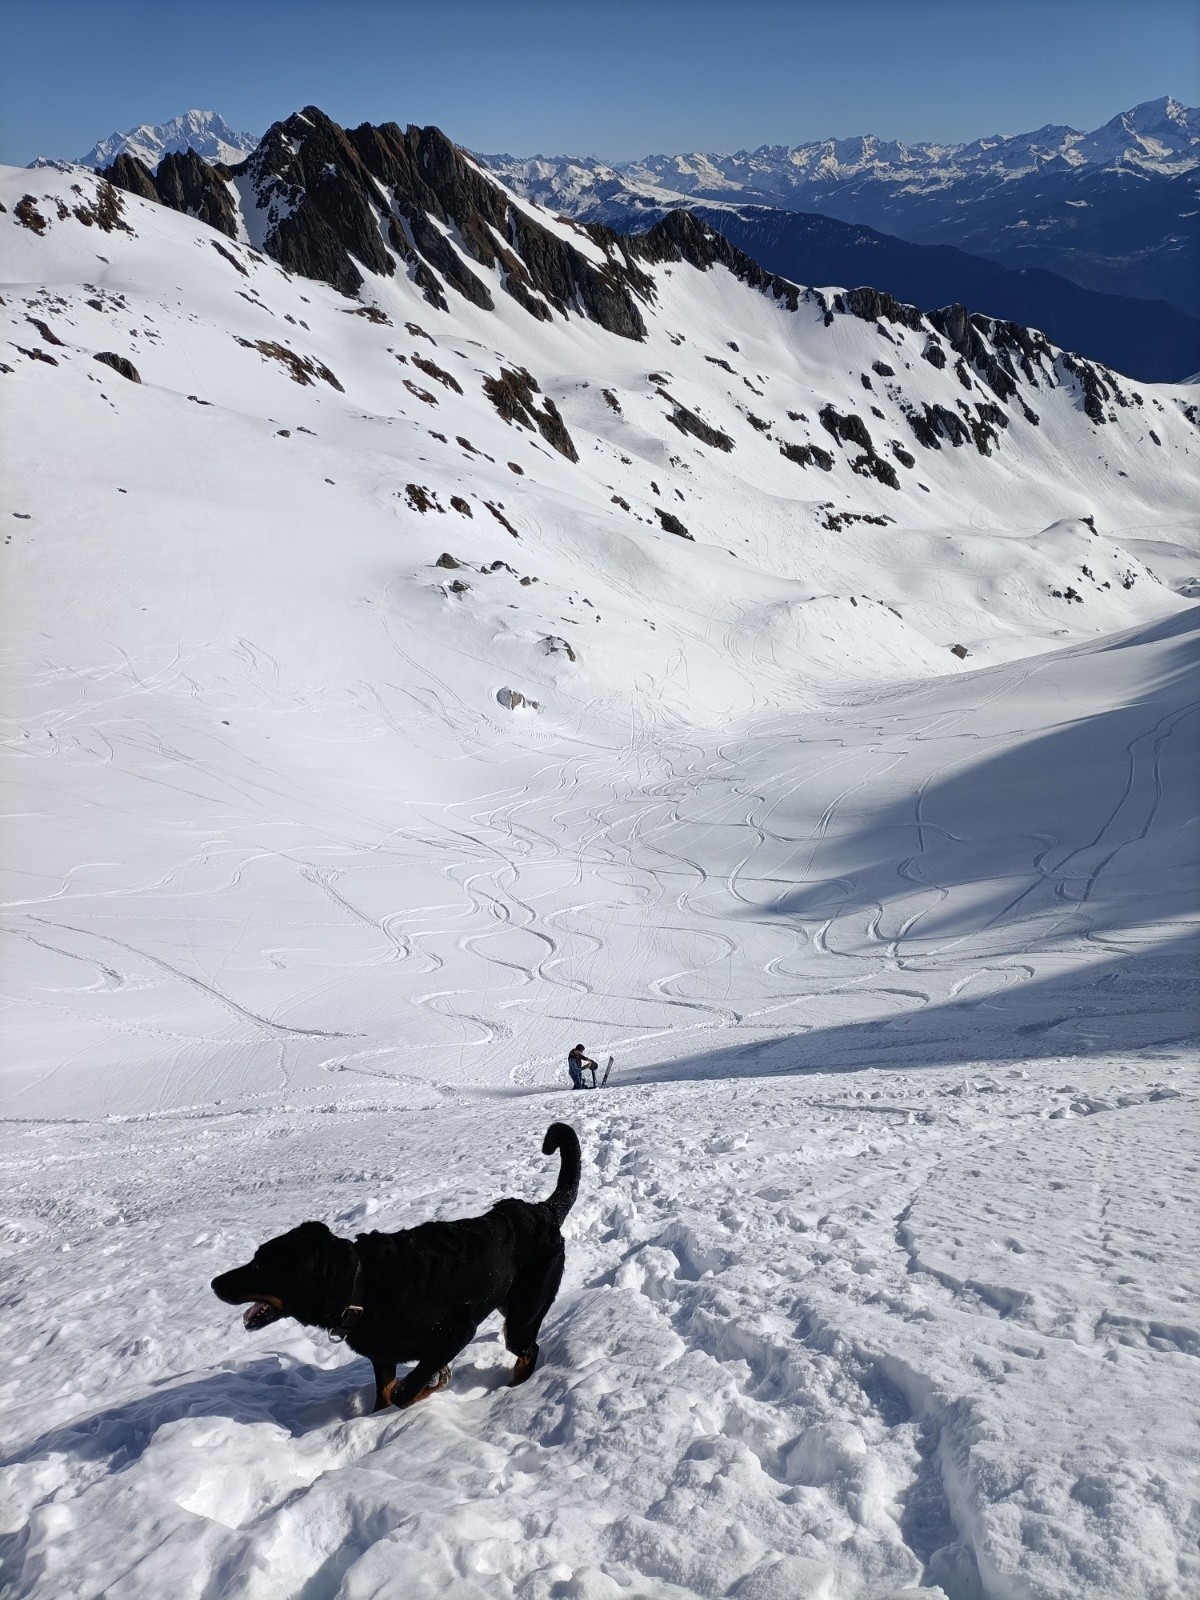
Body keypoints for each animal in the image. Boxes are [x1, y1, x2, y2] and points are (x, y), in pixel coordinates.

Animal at [212, 1120, 582, 1408]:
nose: (215, 1283)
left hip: (524, 1311)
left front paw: (433, 1385)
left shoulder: (455, 1331)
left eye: (261, 1265)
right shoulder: (383, 1356)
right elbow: (386, 1394)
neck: (360, 1284)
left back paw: (515, 1386)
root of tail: (544, 1211)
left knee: (528, 1348)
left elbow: (404, 1391)